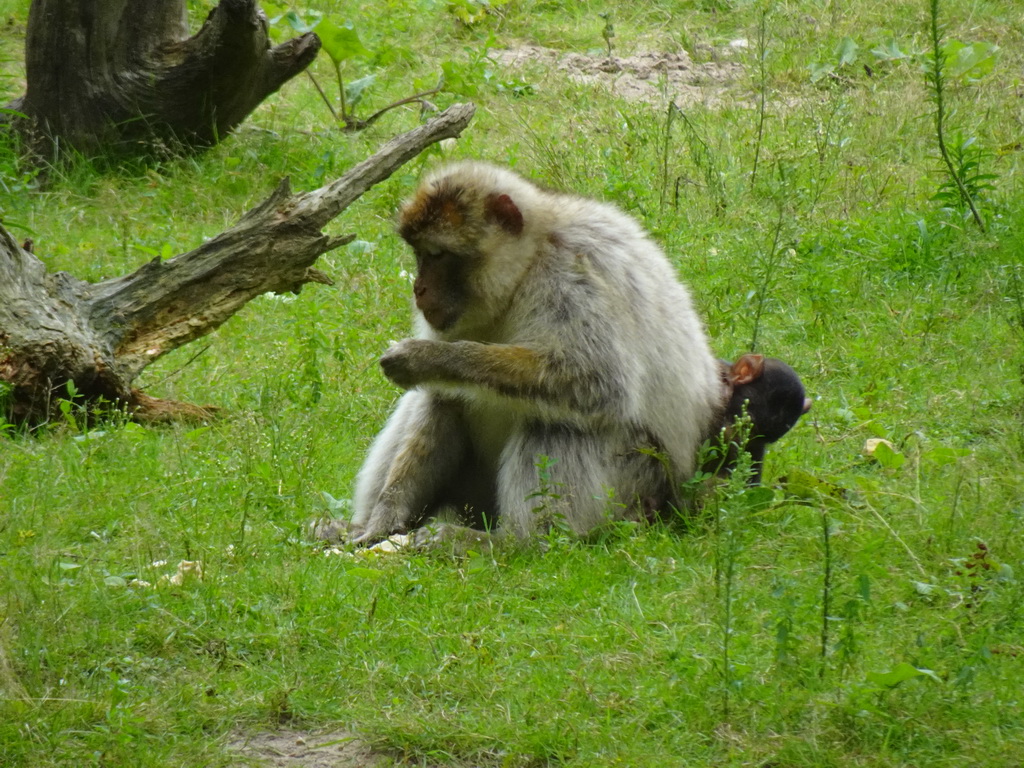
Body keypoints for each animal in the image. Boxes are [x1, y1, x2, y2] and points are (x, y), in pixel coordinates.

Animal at [337, 162, 720, 548]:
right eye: (419, 254)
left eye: (438, 255)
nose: (419, 289)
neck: (524, 271)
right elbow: (442, 397)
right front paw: (387, 516)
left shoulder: (571, 274)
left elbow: (597, 381)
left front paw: (429, 358)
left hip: (638, 482)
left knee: (560, 420)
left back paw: (512, 543)